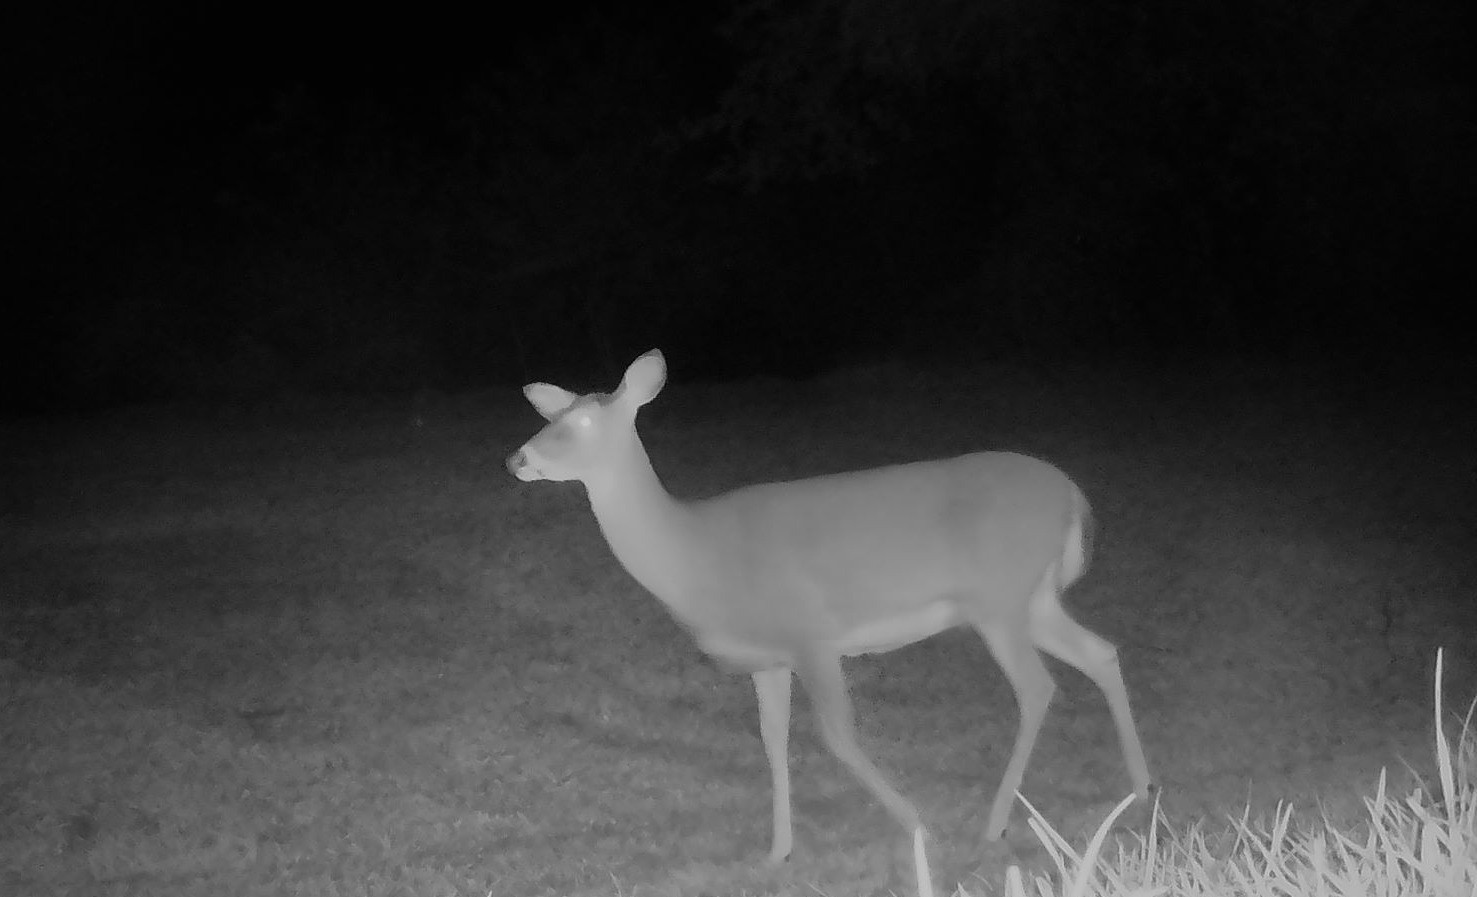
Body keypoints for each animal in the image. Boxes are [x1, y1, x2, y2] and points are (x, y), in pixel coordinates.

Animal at [506, 349, 1153, 897]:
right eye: (550, 414)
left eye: (582, 423)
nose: (517, 459)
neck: (695, 555)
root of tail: (1073, 495)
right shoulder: (768, 659)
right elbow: (773, 740)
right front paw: (778, 852)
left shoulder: (812, 635)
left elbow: (838, 735)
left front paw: (917, 825)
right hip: (1031, 599)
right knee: (1101, 652)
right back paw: (1140, 787)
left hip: (999, 597)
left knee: (1038, 687)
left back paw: (996, 823)